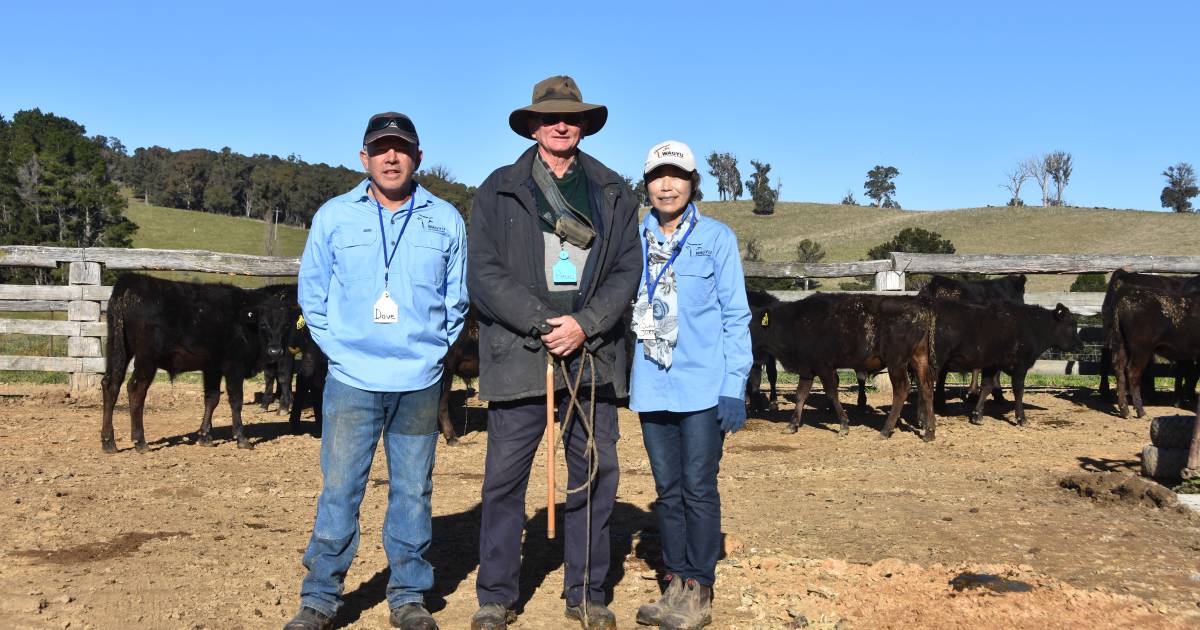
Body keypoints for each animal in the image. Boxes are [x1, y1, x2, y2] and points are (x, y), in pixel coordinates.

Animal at [99, 274, 294, 451]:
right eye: (263, 324)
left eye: (286, 325)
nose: (275, 351)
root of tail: (131, 280)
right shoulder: (234, 367)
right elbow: (236, 400)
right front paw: (241, 438)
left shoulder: (212, 368)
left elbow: (212, 398)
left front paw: (205, 436)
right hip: (146, 359)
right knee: (136, 389)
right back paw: (140, 441)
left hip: (118, 349)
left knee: (111, 384)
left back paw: (109, 442)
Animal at [748, 294, 936, 436]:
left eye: (749, 325)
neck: (796, 322)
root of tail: (919, 305)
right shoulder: (807, 369)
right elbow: (800, 395)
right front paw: (792, 425)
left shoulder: (824, 366)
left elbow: (831, 393)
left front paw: (844, 425)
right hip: (919, 358)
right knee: (926, 386)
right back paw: (929, 431)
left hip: (896, 362)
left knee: (901, 390)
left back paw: (886, 429)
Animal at [931, 298, 1084, 424]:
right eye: (1071, 326)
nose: (1081, 346)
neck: (1033, 327)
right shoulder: (1020, 365)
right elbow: (1018, 390)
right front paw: (1021, 418)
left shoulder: (992, 365)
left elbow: (987, 387)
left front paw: (977, 415)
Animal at [1104, 279, 1200, 417]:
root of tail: (1127, 291)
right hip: (1142, 349)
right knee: (1132, 372)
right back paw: (1140, 411)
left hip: (1120, 343)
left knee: (1119, 369)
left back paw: (1125, 410)